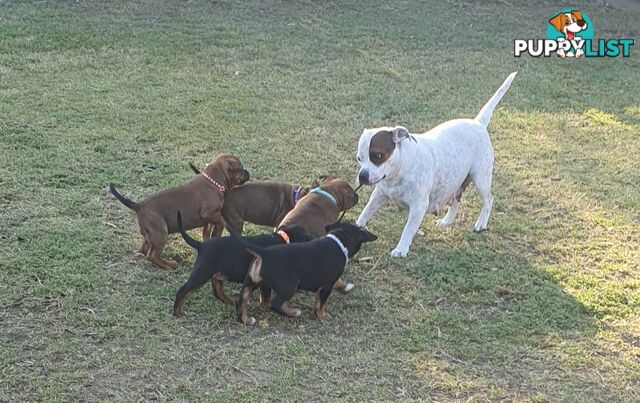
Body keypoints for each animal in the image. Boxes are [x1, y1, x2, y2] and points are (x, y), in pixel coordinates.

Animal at [109, 156, 249, 270]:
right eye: (240, 168)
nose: (248, 172)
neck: (213, 180)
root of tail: (138, 206)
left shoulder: (207, 220)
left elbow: (206, 232)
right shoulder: (209, 213)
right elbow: (220, 221)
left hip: (150, 234)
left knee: (144, 249)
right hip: (161, 233)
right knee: (151, 255)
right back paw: (168, 264)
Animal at [172, 211, 312, 318]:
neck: (284, 239)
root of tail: (201, 245)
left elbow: (264, 296)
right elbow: (266, 296)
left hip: (217, 272)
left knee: (217, 290)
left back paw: (229, 300)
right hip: (202, 272)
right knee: (183, 291)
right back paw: (177, 312)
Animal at [235, 223, 376, 326]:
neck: (338, 242)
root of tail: (264, 253)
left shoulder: (324, 285)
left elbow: (319, 301)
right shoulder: (327, 285)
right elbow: (322, 303)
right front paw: (322, 316)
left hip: (251, 282)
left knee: (242, 301)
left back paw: (246, 320)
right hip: (289, 286)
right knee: (274, 304)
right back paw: (293, 312)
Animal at [358, 72, 516, 258]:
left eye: (377, 155)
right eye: (359, 158)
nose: (362, 176)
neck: (401, 168)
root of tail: (478, 123)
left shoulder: (418, 206)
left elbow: (407, 229)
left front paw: (401, 249)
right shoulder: (379, 195)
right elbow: (364, 213)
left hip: (481, 178)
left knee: (489, 199)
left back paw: (481, 223)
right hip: (457, 182)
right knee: (456, 201)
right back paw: (447, 221)